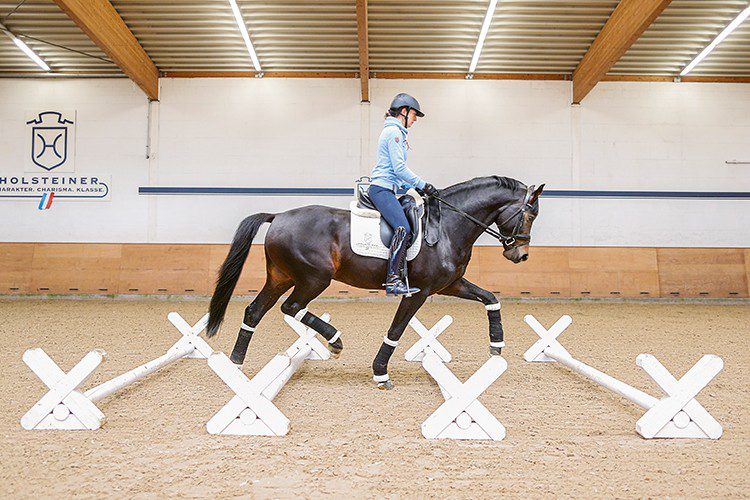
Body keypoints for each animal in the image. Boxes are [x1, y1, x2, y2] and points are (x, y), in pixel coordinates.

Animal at [209, 178, 544, 388]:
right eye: (529, 216)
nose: (521, 254)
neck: (449, 226)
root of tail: (278, 216)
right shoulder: (418, 292)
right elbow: (396, 330)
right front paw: (380, 373)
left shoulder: (451, 285)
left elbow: (490, 298)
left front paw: (496, 343)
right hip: (314, 278)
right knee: (291, 307)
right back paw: (334, 340)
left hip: (281, 277)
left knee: (255, 311)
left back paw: (235, 365)